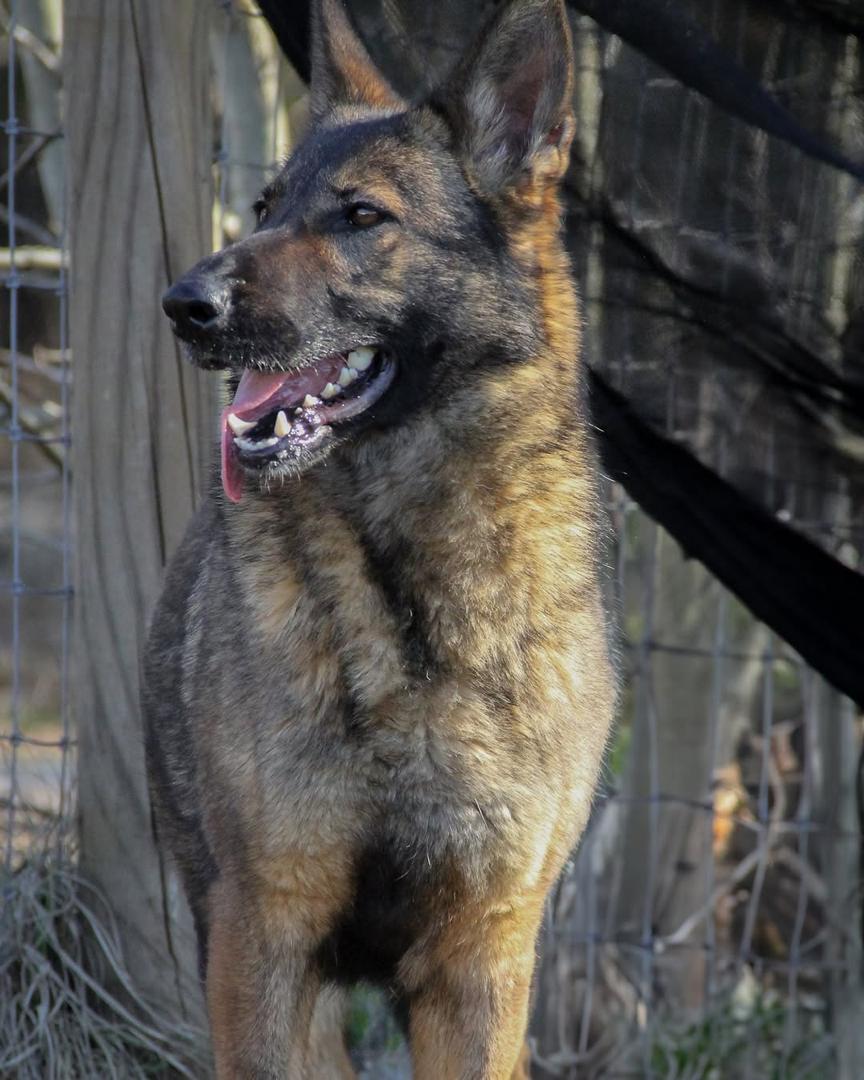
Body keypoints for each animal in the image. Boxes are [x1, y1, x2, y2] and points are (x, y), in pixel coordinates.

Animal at [143, 0, 615, 1075]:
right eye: (266, 206)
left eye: (362, 217)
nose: (187, 306)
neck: (411, 603)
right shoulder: (265, 932)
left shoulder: (482, 960)